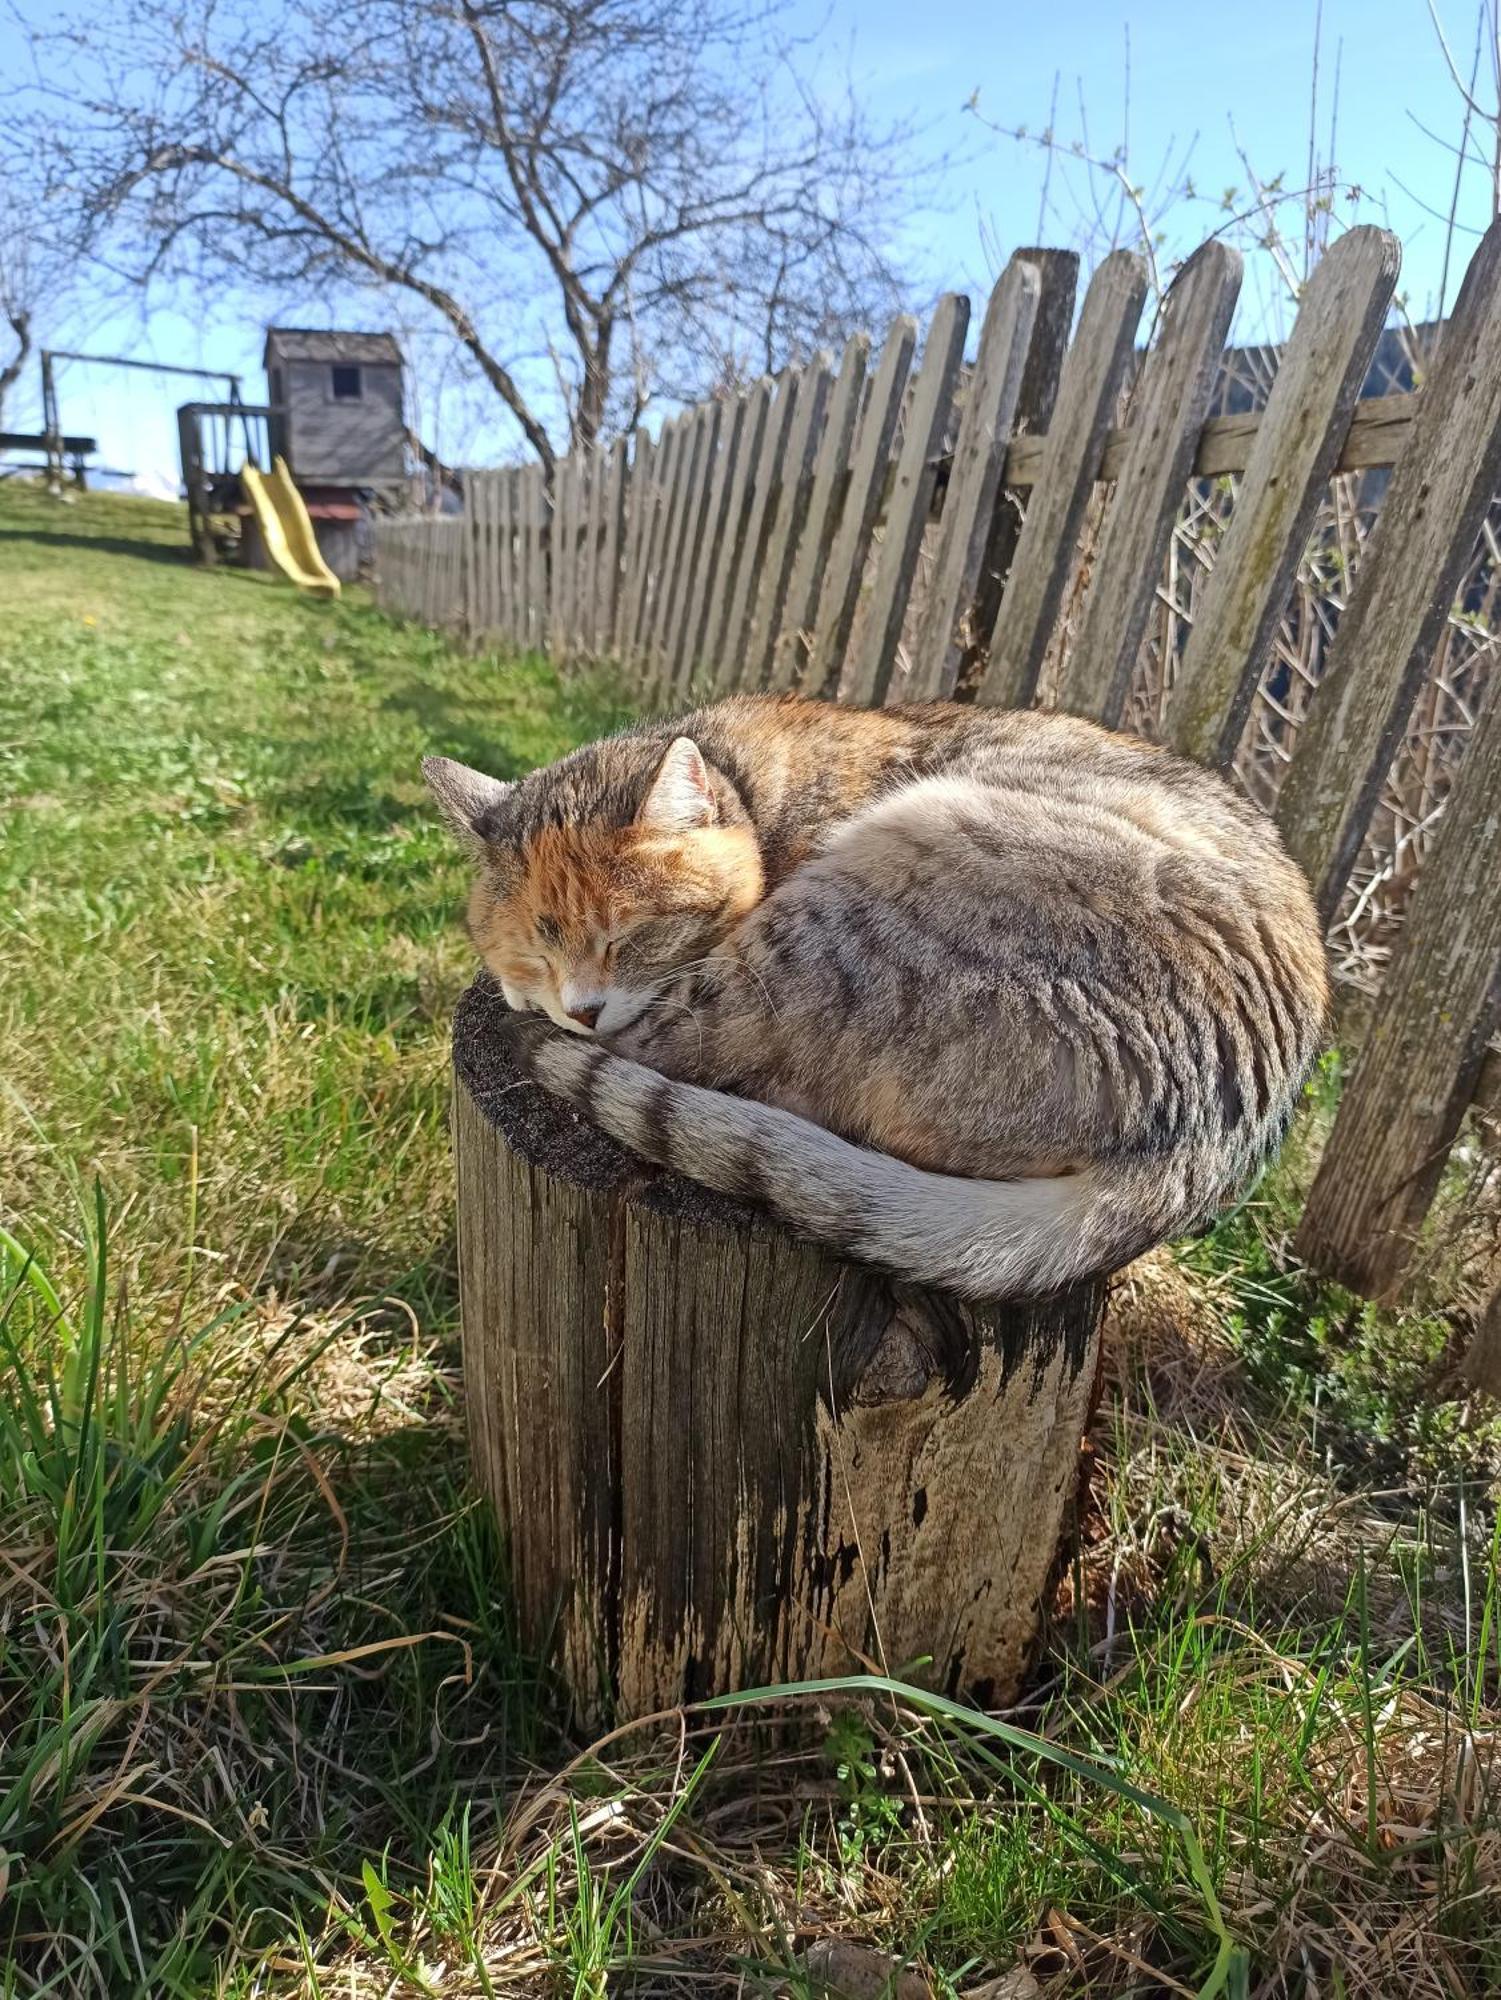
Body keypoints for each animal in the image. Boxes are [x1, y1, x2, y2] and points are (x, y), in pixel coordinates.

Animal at [426, 696, 1328, 1304]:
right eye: (537, 949)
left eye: (631, 936)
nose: (578, 1006)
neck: (751, 787)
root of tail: (1201, 1143)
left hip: (879, 884)